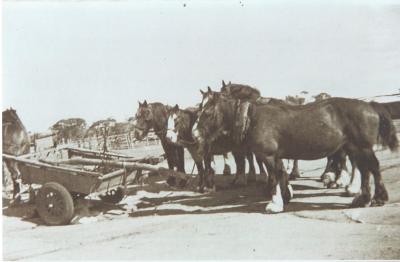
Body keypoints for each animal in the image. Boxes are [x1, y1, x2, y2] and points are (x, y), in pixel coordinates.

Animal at [194, 85, 396, 213]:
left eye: (207, 111)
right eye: (199, 109)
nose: (195, 135)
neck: (252, 117)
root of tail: (370, 105)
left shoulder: (268, 156)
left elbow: (274, 177)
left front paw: (274, 204)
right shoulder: (276, 156)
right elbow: (281, 174)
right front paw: (285, 196)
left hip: (363, 147)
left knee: (373, 168)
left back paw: (377, 198)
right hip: (355, 148)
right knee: (365, 170)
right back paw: (362, 199)